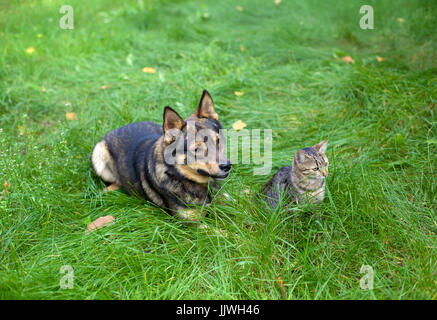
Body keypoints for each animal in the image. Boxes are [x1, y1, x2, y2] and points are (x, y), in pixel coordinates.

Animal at [90, 89, 230, 221]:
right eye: (196, 149)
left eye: (219, 140)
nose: (227, 166)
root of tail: (118, 128)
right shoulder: (189, 222)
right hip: (98, 156)